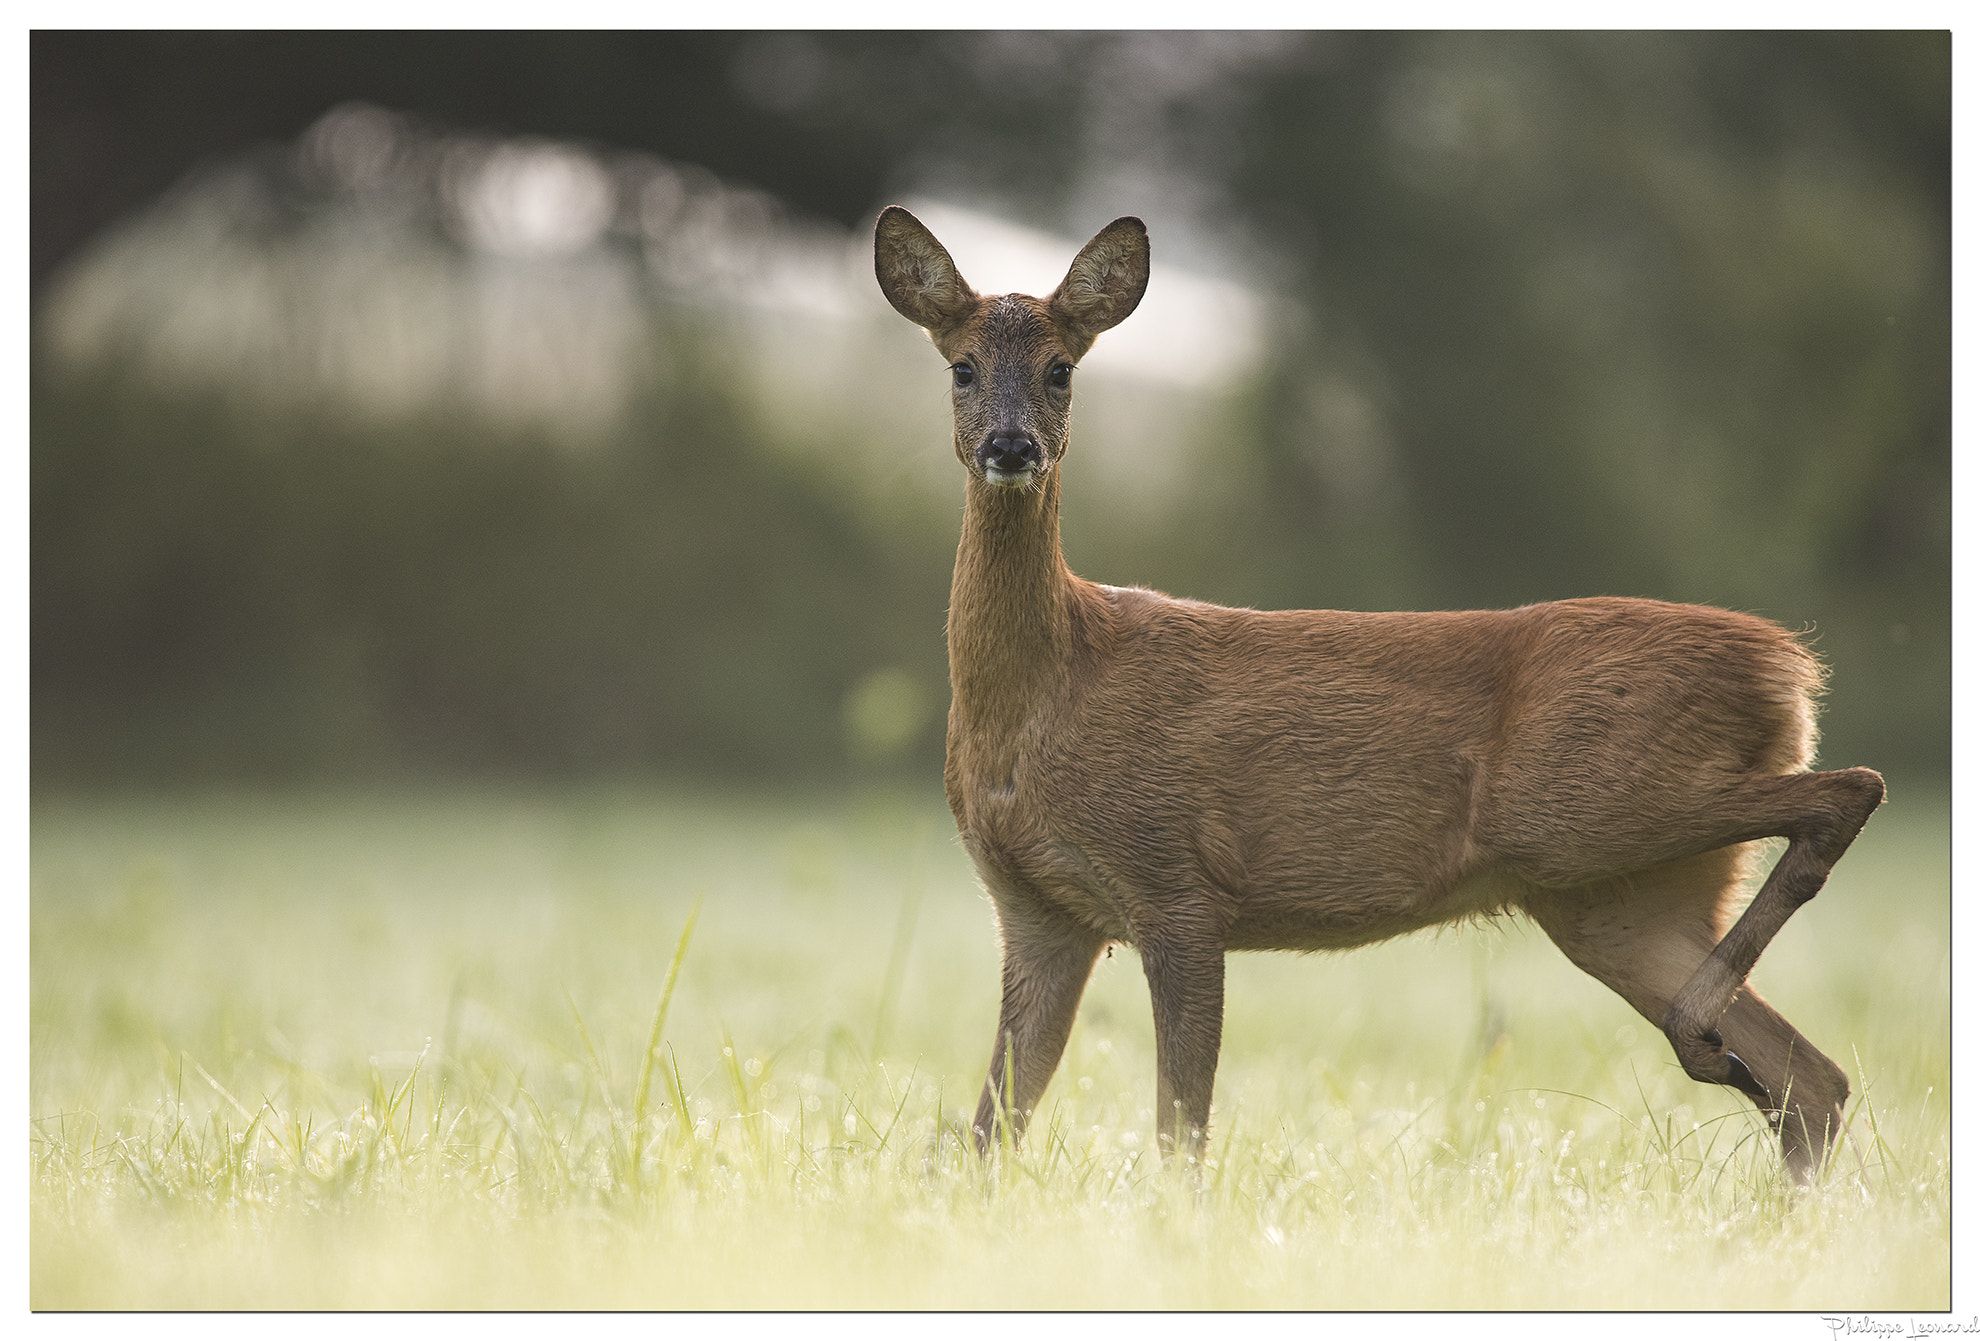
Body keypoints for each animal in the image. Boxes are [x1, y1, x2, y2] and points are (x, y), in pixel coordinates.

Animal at [872, 204, 1885, 1183]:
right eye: (961, 367)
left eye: (1061, 370)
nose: (1011, 447)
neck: (1051, 690)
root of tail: (1789, 669)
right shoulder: (1038, 913)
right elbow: (989, 1135)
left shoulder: (1178, 881)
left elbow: (1178, 1131)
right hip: (1618, 900)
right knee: (1817, 1079)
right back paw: (1743, 1096)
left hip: (1587, 805)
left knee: (1851, 791)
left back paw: (1703, 1041)